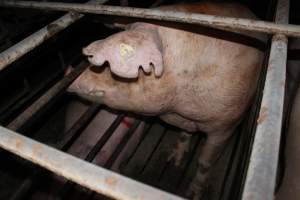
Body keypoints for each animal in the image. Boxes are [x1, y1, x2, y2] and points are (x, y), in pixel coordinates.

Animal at [67, 2, 264, 199]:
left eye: (107, 65)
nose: (71, 83)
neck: (180, 105)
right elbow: (184, 135)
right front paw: (173, 160)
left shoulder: (227, 124)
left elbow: (204, 163)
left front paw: (193, 193)